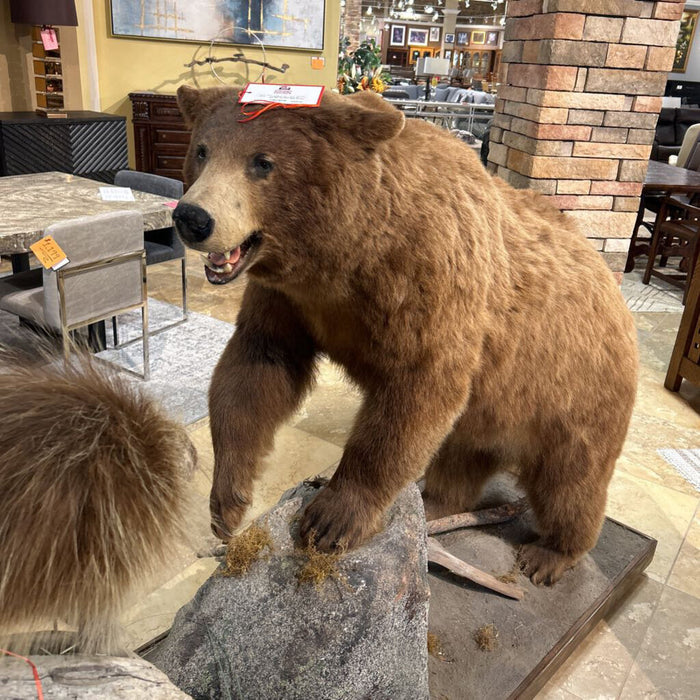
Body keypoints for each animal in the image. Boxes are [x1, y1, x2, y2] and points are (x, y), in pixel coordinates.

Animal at [173, 85, 638, 584]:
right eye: (202, 150)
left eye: (263, 162)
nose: (193, 217)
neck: (346, 256)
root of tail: (613, 288)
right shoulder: (287, 300)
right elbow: (256, 369)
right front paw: (228, 502)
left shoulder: (431, 281)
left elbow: (415, 395)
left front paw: (330, 519)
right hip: (494, 408)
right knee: (461, 457)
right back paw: (433, 504)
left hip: (574, 394)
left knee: (570, 483)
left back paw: (548, 555)